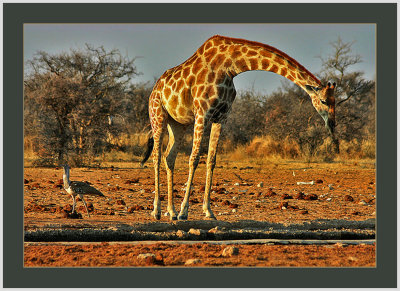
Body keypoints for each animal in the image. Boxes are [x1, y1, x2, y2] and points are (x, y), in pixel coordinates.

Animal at [142, 34, 336, 221]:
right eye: (324, 101)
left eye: (336, 100)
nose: (332, 124)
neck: (230, 67)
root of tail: (154, 89)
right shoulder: (202, 114)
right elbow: (194, 158)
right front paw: (184, 212)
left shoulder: (221, 117)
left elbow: (211, 160)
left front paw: (208, 211)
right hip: (158, 116)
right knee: (156, 156)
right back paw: (157, 211)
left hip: (178, 124)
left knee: (169, 157)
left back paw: (171, 211)